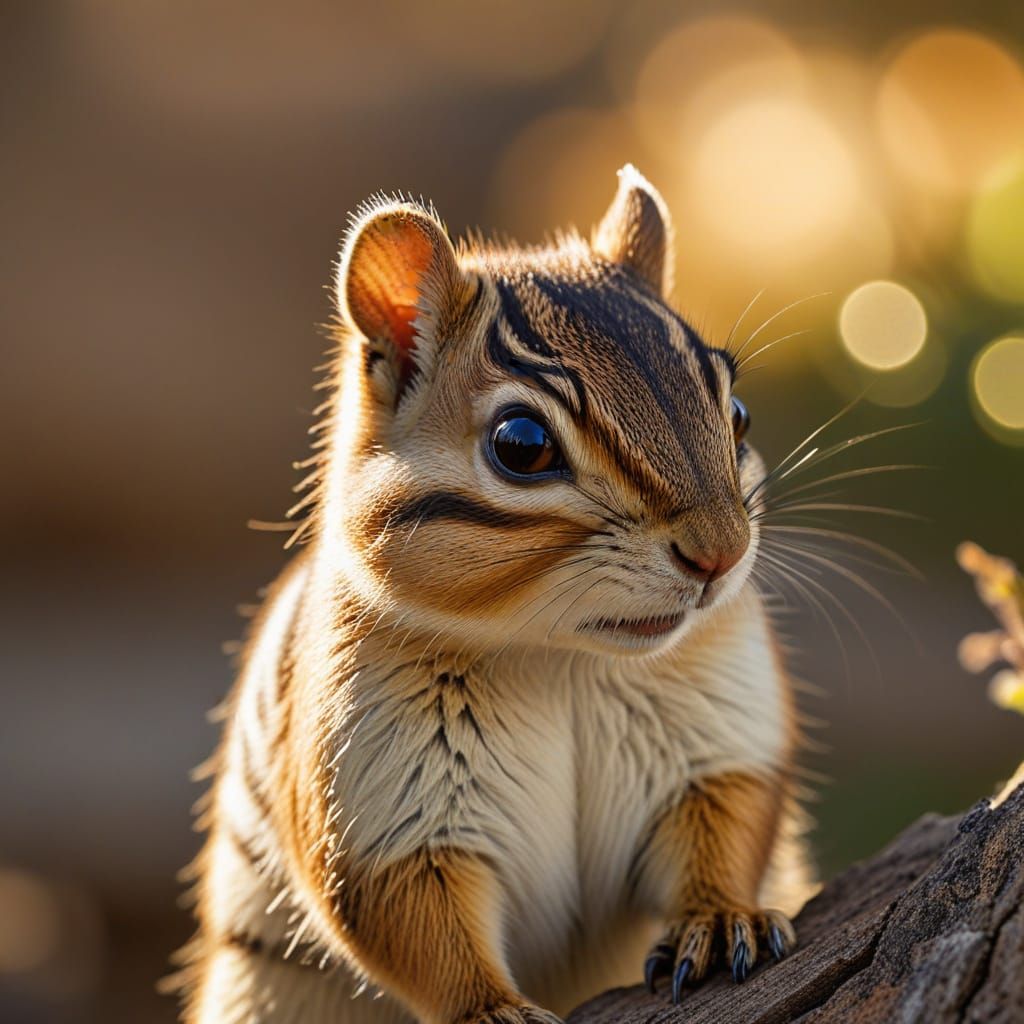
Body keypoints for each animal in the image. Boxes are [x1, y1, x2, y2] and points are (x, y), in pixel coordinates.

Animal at [173, 165, 813, 1024]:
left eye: (736, 412)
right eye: (521, 445)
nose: (722, 553)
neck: (563, 658)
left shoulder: (720, 737)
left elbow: (730, 827)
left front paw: (718, 920)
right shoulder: (383, 806)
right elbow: (417, 923)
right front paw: (490, 1010)